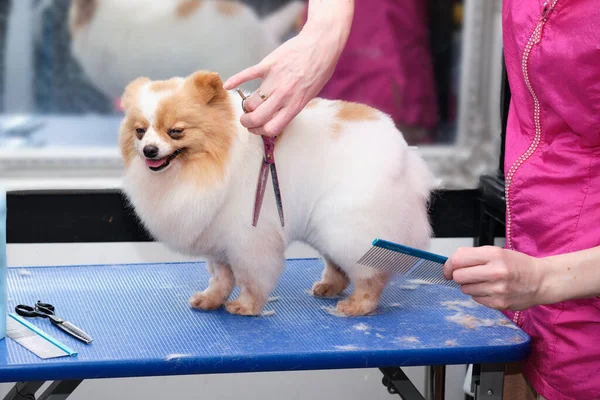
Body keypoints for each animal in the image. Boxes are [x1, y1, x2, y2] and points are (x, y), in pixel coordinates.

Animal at [118, 70, 436, 318]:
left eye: (175, 131)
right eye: (140, 132)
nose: (149, 151)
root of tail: (404, 150)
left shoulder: (248, 238)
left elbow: (250, 278)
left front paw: (246, 306)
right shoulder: (219, 236)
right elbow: (221, 277)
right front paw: (211, 300)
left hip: (348, 224)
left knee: (370, 272)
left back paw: (358, 305)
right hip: (325, 225)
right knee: (339, 264)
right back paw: (329, 287)